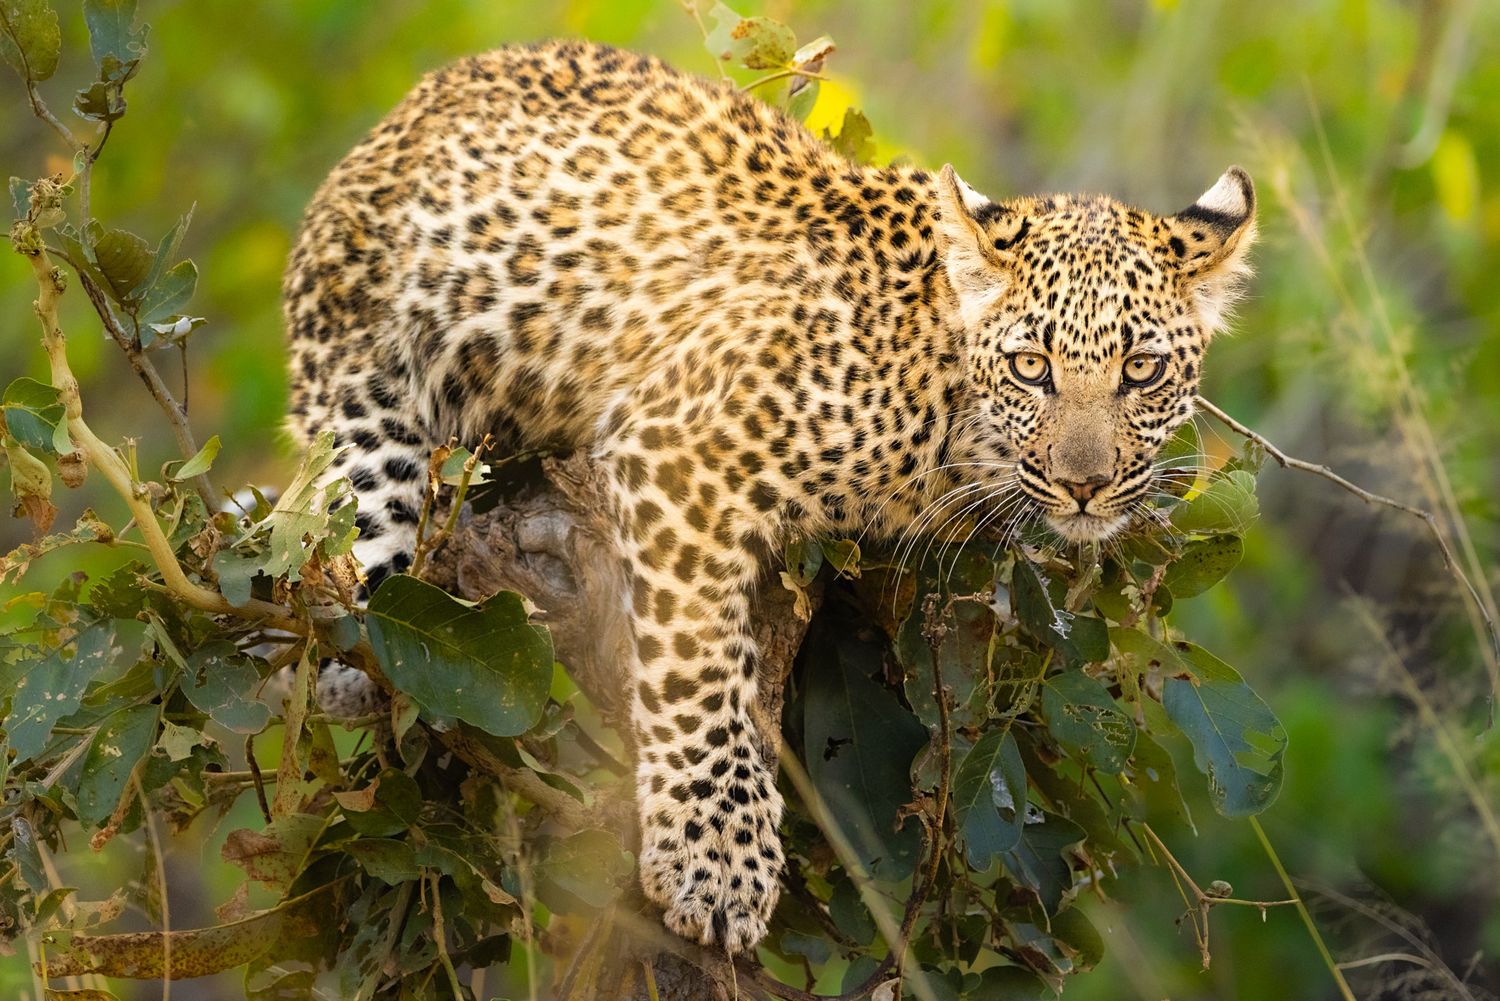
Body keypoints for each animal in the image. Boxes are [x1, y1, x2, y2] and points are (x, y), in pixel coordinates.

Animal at [282, 39, 1255, 955]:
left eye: (1142, 370)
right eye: (1031, 366)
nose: (1085, 484)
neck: (950, 407)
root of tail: (401, 112)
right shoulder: (676, 448)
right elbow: (695, 664)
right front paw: (715, 860)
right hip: (365, 405)